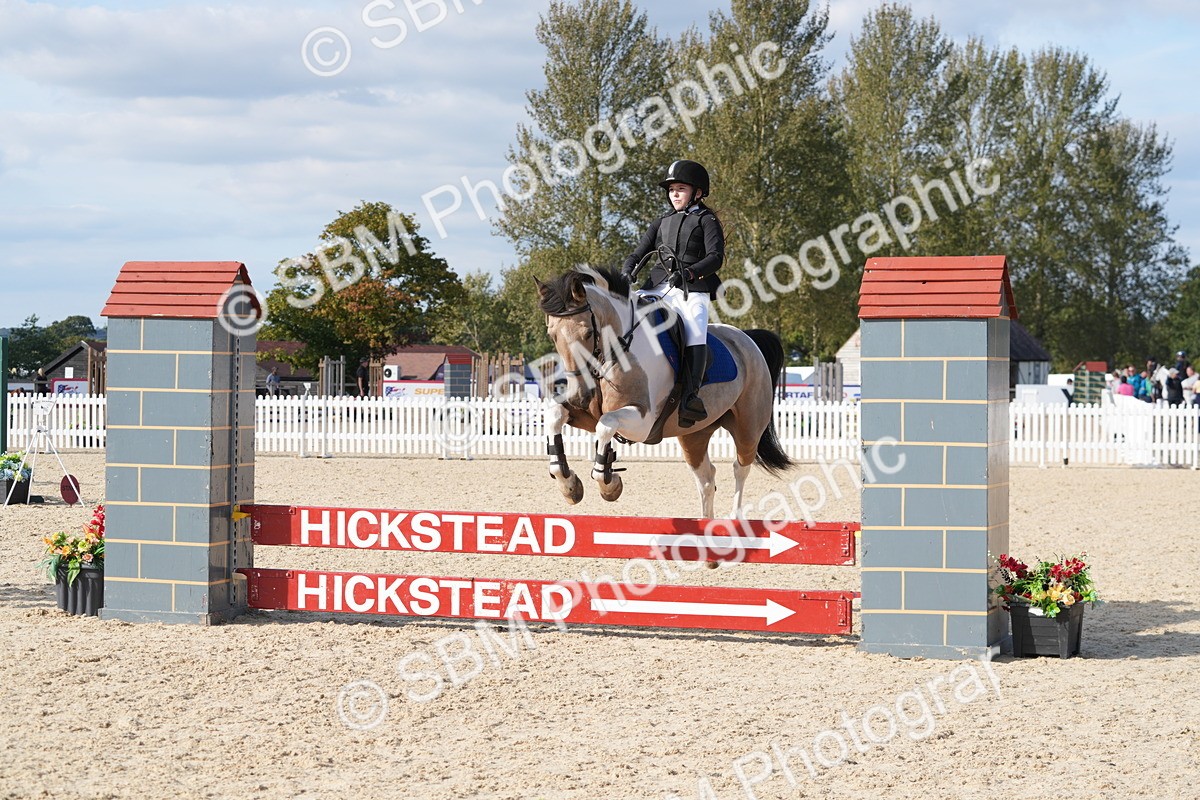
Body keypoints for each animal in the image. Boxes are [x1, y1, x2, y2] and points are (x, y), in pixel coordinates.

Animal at [535, 264, 793, 519]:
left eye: (588, 333)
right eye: (552, 335)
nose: (579, 396)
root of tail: (747, 338)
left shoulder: (642, 423)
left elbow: (606, 424)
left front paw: (609, 485)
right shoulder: (588, 415)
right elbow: (556, 414)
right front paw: (569, 485)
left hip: (748, 428)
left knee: (740, 469)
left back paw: (735, 520)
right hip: (694, 435)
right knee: (706, 480)